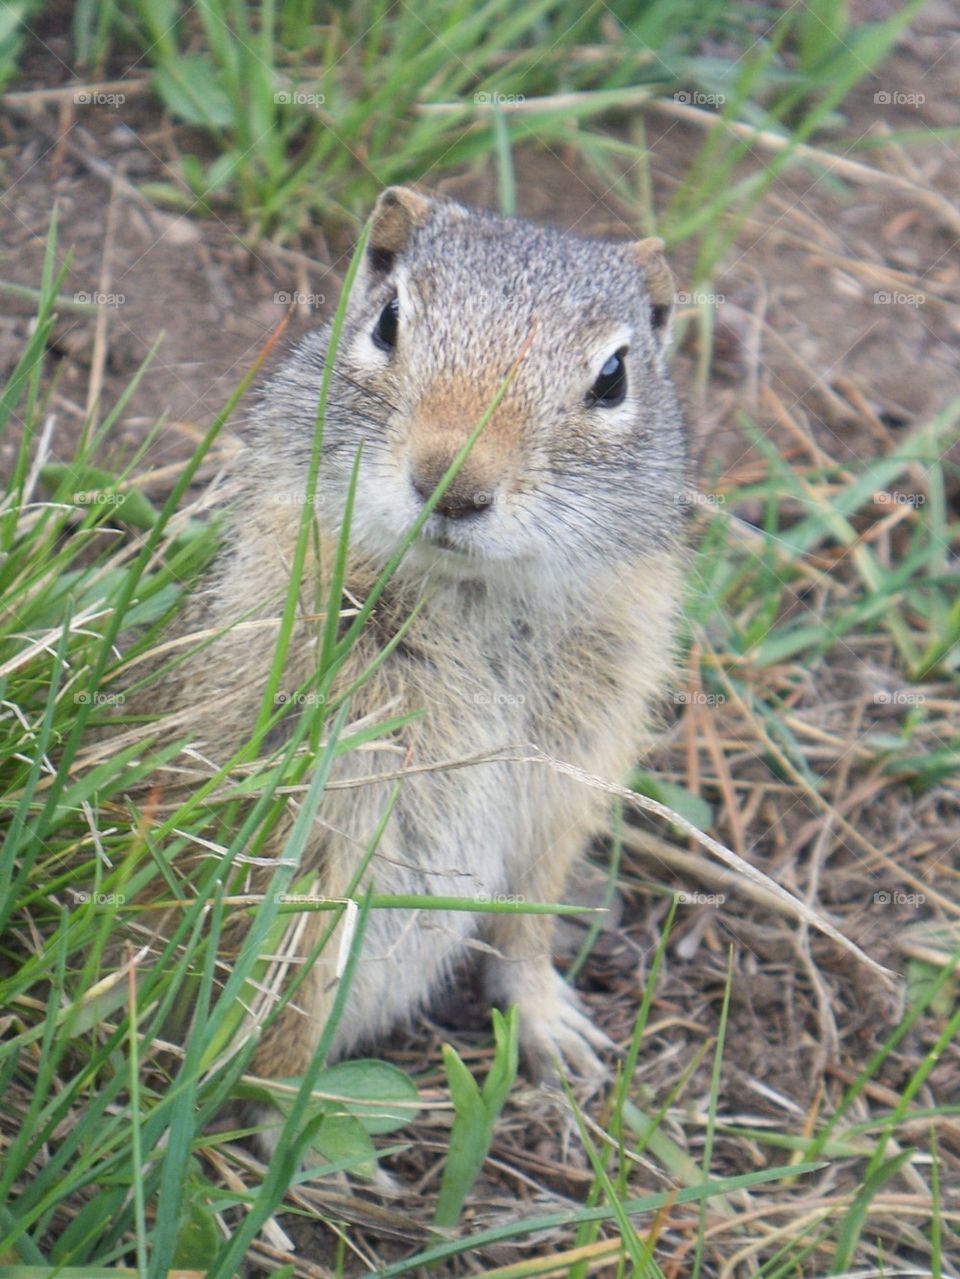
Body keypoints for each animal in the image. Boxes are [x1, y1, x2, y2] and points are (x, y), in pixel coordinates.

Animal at [138, 185, 685, 1089]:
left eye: (614, 376)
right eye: (388, 320)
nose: (452, 483)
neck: (473, 595)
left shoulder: (571, 773)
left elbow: (526, 922)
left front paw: (556, 1031)